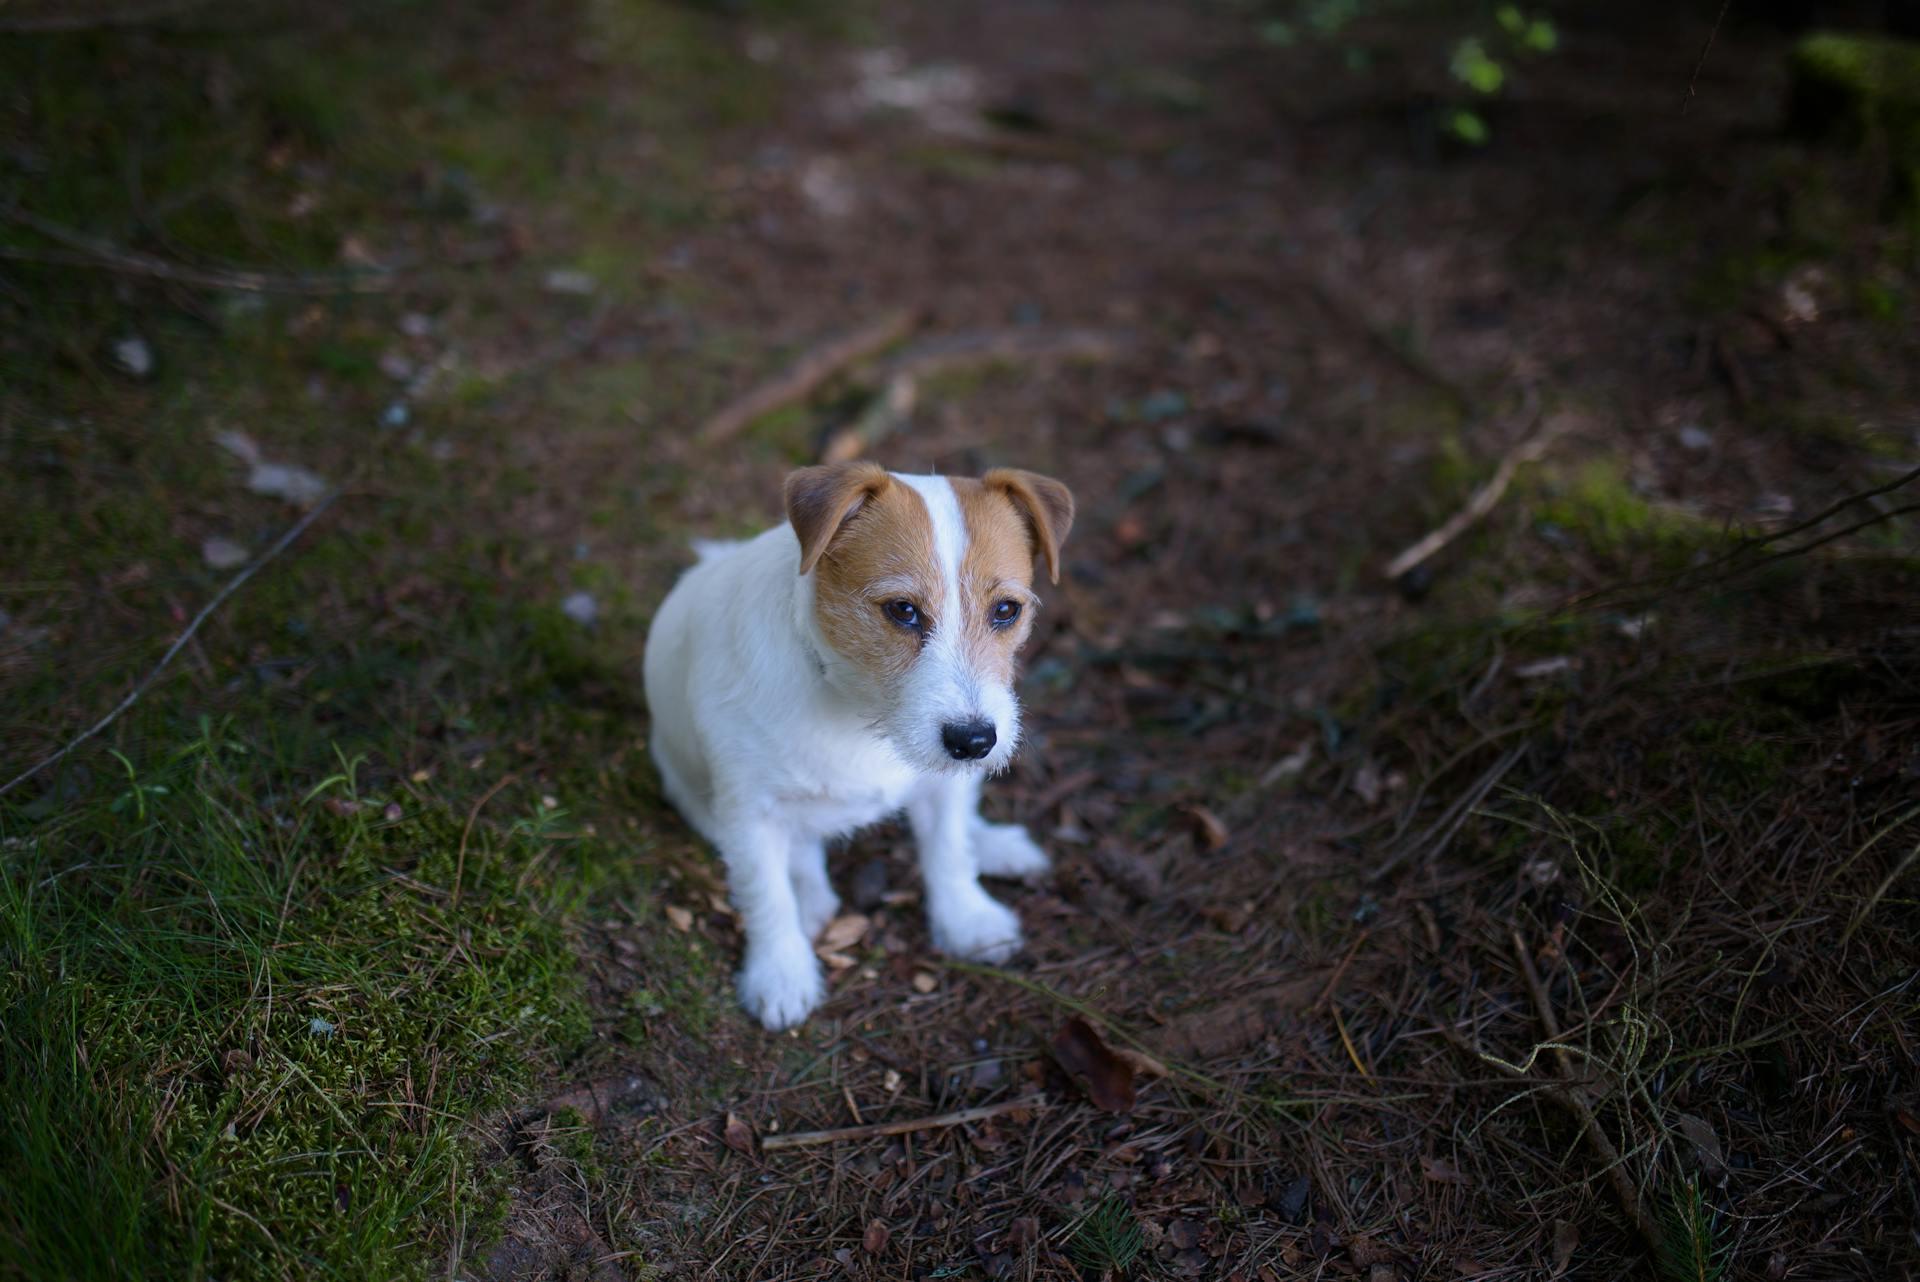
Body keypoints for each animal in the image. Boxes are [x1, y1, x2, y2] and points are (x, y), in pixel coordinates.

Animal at [641, 460, 1067, 1028]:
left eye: (1006, 610)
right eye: (903, 610)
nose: (974, 741)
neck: (860, 710)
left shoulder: (943, 786)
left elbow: (949, 849)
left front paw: (968, 920)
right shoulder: (749, 813)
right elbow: (767, 896)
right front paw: (781, 974)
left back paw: (996, 845)